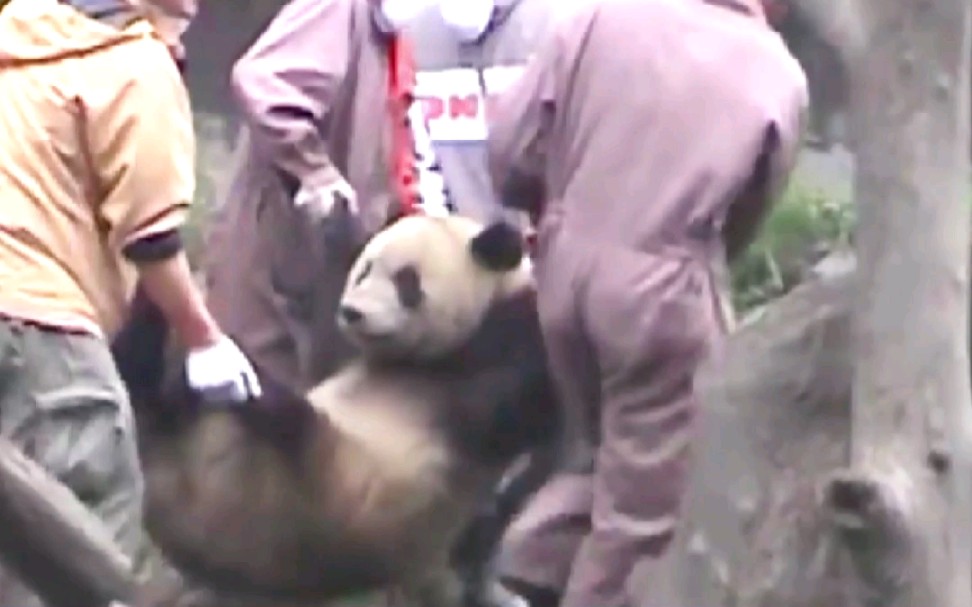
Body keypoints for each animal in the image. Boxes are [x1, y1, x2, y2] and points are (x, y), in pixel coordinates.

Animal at [112, 216, 560, 604]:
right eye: (364, 270)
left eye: (407, 281)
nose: (353, 312)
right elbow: (323, 351)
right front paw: (338, 229)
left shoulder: (511, 350)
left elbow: (504, 407)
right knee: (139, 374)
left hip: (311, 494)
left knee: (285, 424)